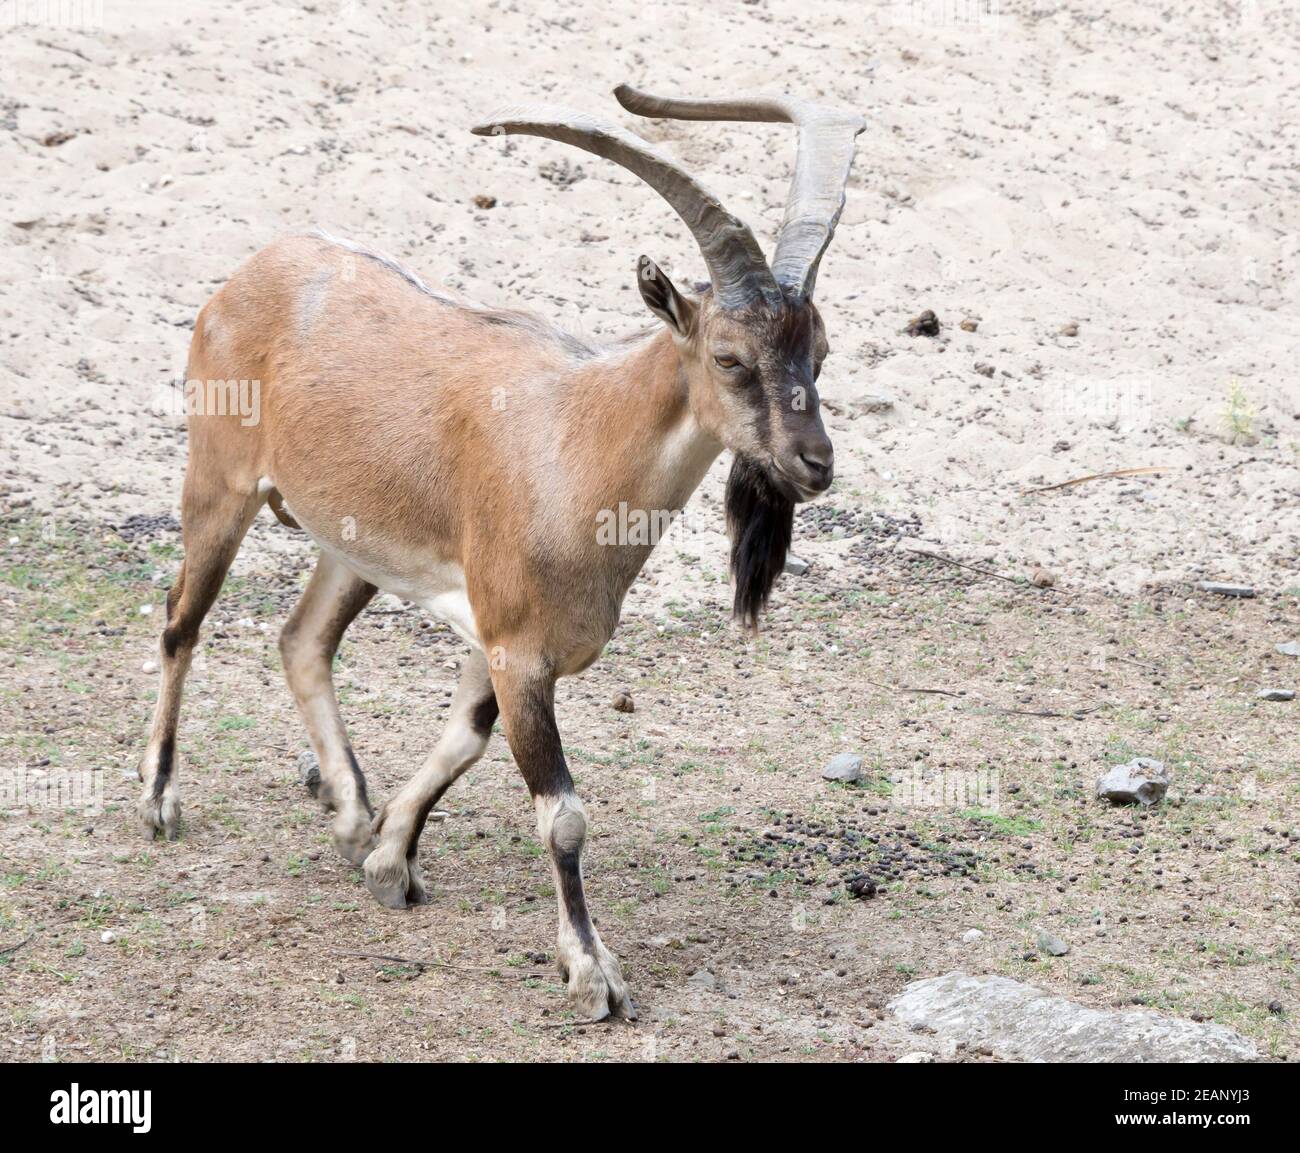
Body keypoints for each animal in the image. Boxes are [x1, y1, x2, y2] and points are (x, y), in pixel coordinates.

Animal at [142, 87, 863, 1019]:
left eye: (822, 350)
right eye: (730, 357)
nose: (815, 463)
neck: (578, 443)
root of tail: (257, 268)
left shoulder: (501, 640)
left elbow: (464, 740)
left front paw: (388, 858)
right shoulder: (519, 648)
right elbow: (562, 813)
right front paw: (592, 972)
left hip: (353, 545)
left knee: (301, 640)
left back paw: (349, 809)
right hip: (219, 483)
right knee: (180, 622)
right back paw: (161, 802)